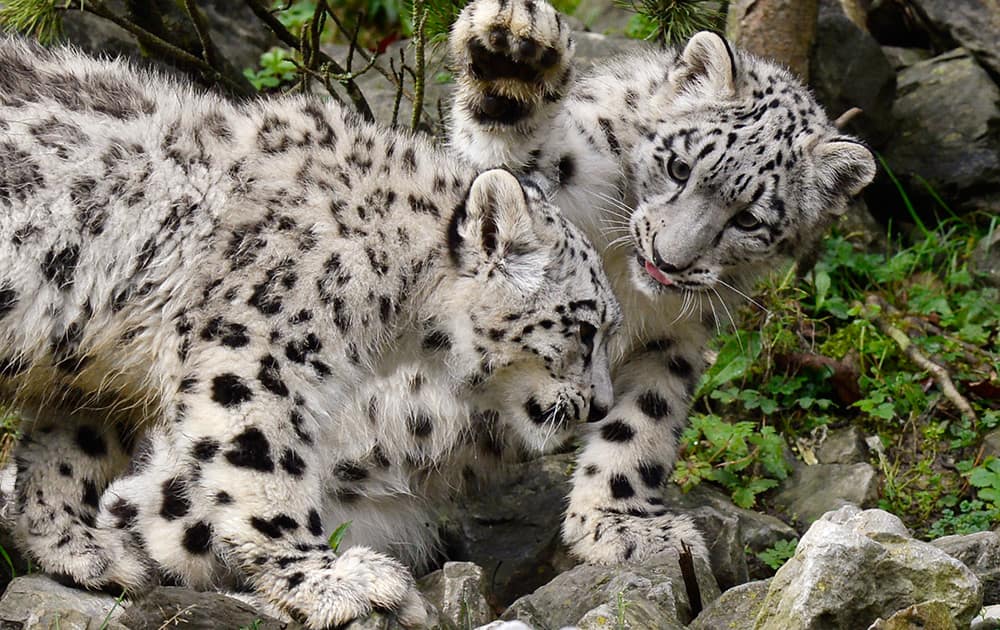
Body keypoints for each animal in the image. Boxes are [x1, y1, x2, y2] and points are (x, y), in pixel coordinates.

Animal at [0, 35, 620, 630]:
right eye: (586, 327)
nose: (601, 407)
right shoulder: (251, 351)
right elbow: (258, 463)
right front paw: (333, 581)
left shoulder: (88, 371)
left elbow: (68, 454)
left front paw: (85, 551)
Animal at [446, 0, 876, 564]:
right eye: (679, 167)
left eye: (749, 219)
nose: (666, 260)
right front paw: (516, 50)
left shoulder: (675, 336)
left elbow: (644, 420)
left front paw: (618, 523)